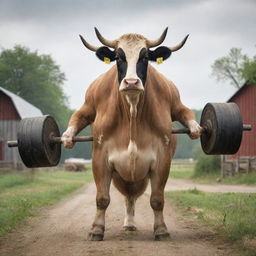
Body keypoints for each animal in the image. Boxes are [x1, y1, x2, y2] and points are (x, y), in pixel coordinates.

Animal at [61, 28, 202, 242]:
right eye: (119, 57)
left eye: (144, 57)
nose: (131, 82)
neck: (132, 113)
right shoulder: (100, 157)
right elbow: (102, 198)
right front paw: (96, 229)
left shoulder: (162, 159)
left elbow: (157, 200)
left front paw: (161, 229)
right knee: (128, 196)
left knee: (131, 197)